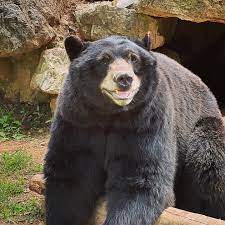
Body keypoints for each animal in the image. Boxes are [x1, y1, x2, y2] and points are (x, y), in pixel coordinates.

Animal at [44, 35, 225, 225]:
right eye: (104, 59)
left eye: (133, 58)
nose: (124, 78)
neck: (110, 114)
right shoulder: (76, 121)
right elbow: (71, 177)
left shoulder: (147, 122)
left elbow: (141, 179)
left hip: (203, 126)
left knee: (208, 159)